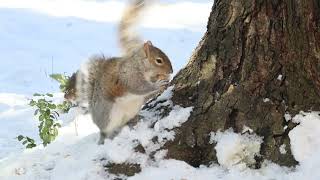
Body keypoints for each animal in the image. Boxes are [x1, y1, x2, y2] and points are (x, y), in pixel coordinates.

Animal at [63, 0, 172, 144]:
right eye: (158, 60)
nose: (171, 70)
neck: (140, 66)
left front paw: (165, 79)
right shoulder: (130, 77)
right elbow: (140, 88)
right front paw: (158, 85)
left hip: (132, 109)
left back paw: (135, 119)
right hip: (109, 114)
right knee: (106, 131)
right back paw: (105, 138)